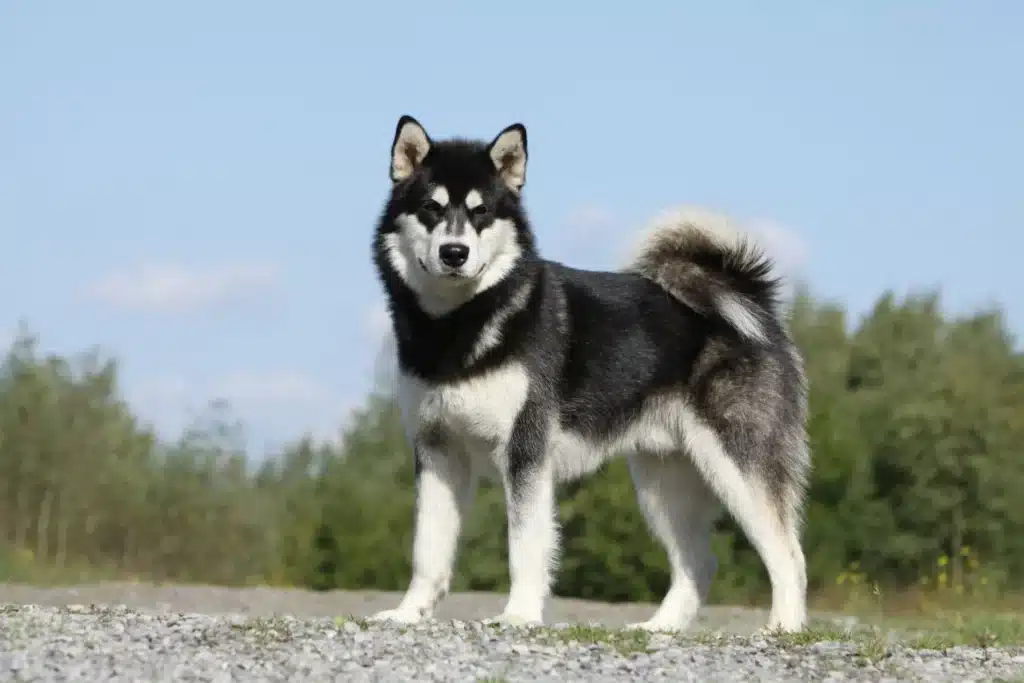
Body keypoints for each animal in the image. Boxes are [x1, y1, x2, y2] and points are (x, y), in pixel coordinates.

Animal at [366, 114, 806, 634]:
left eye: (481, 213)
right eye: (431, 208)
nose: (454, 252)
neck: (458, 326)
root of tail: (748, 299)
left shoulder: (526, 452)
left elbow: (525, 547)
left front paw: (519, 615)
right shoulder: (437, 449)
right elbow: (427, 550)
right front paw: (408, 613)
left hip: (737, 466)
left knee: (789, 554)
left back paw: (784, 628)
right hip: (663, 481)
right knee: (699, 562)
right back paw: (660, 628)